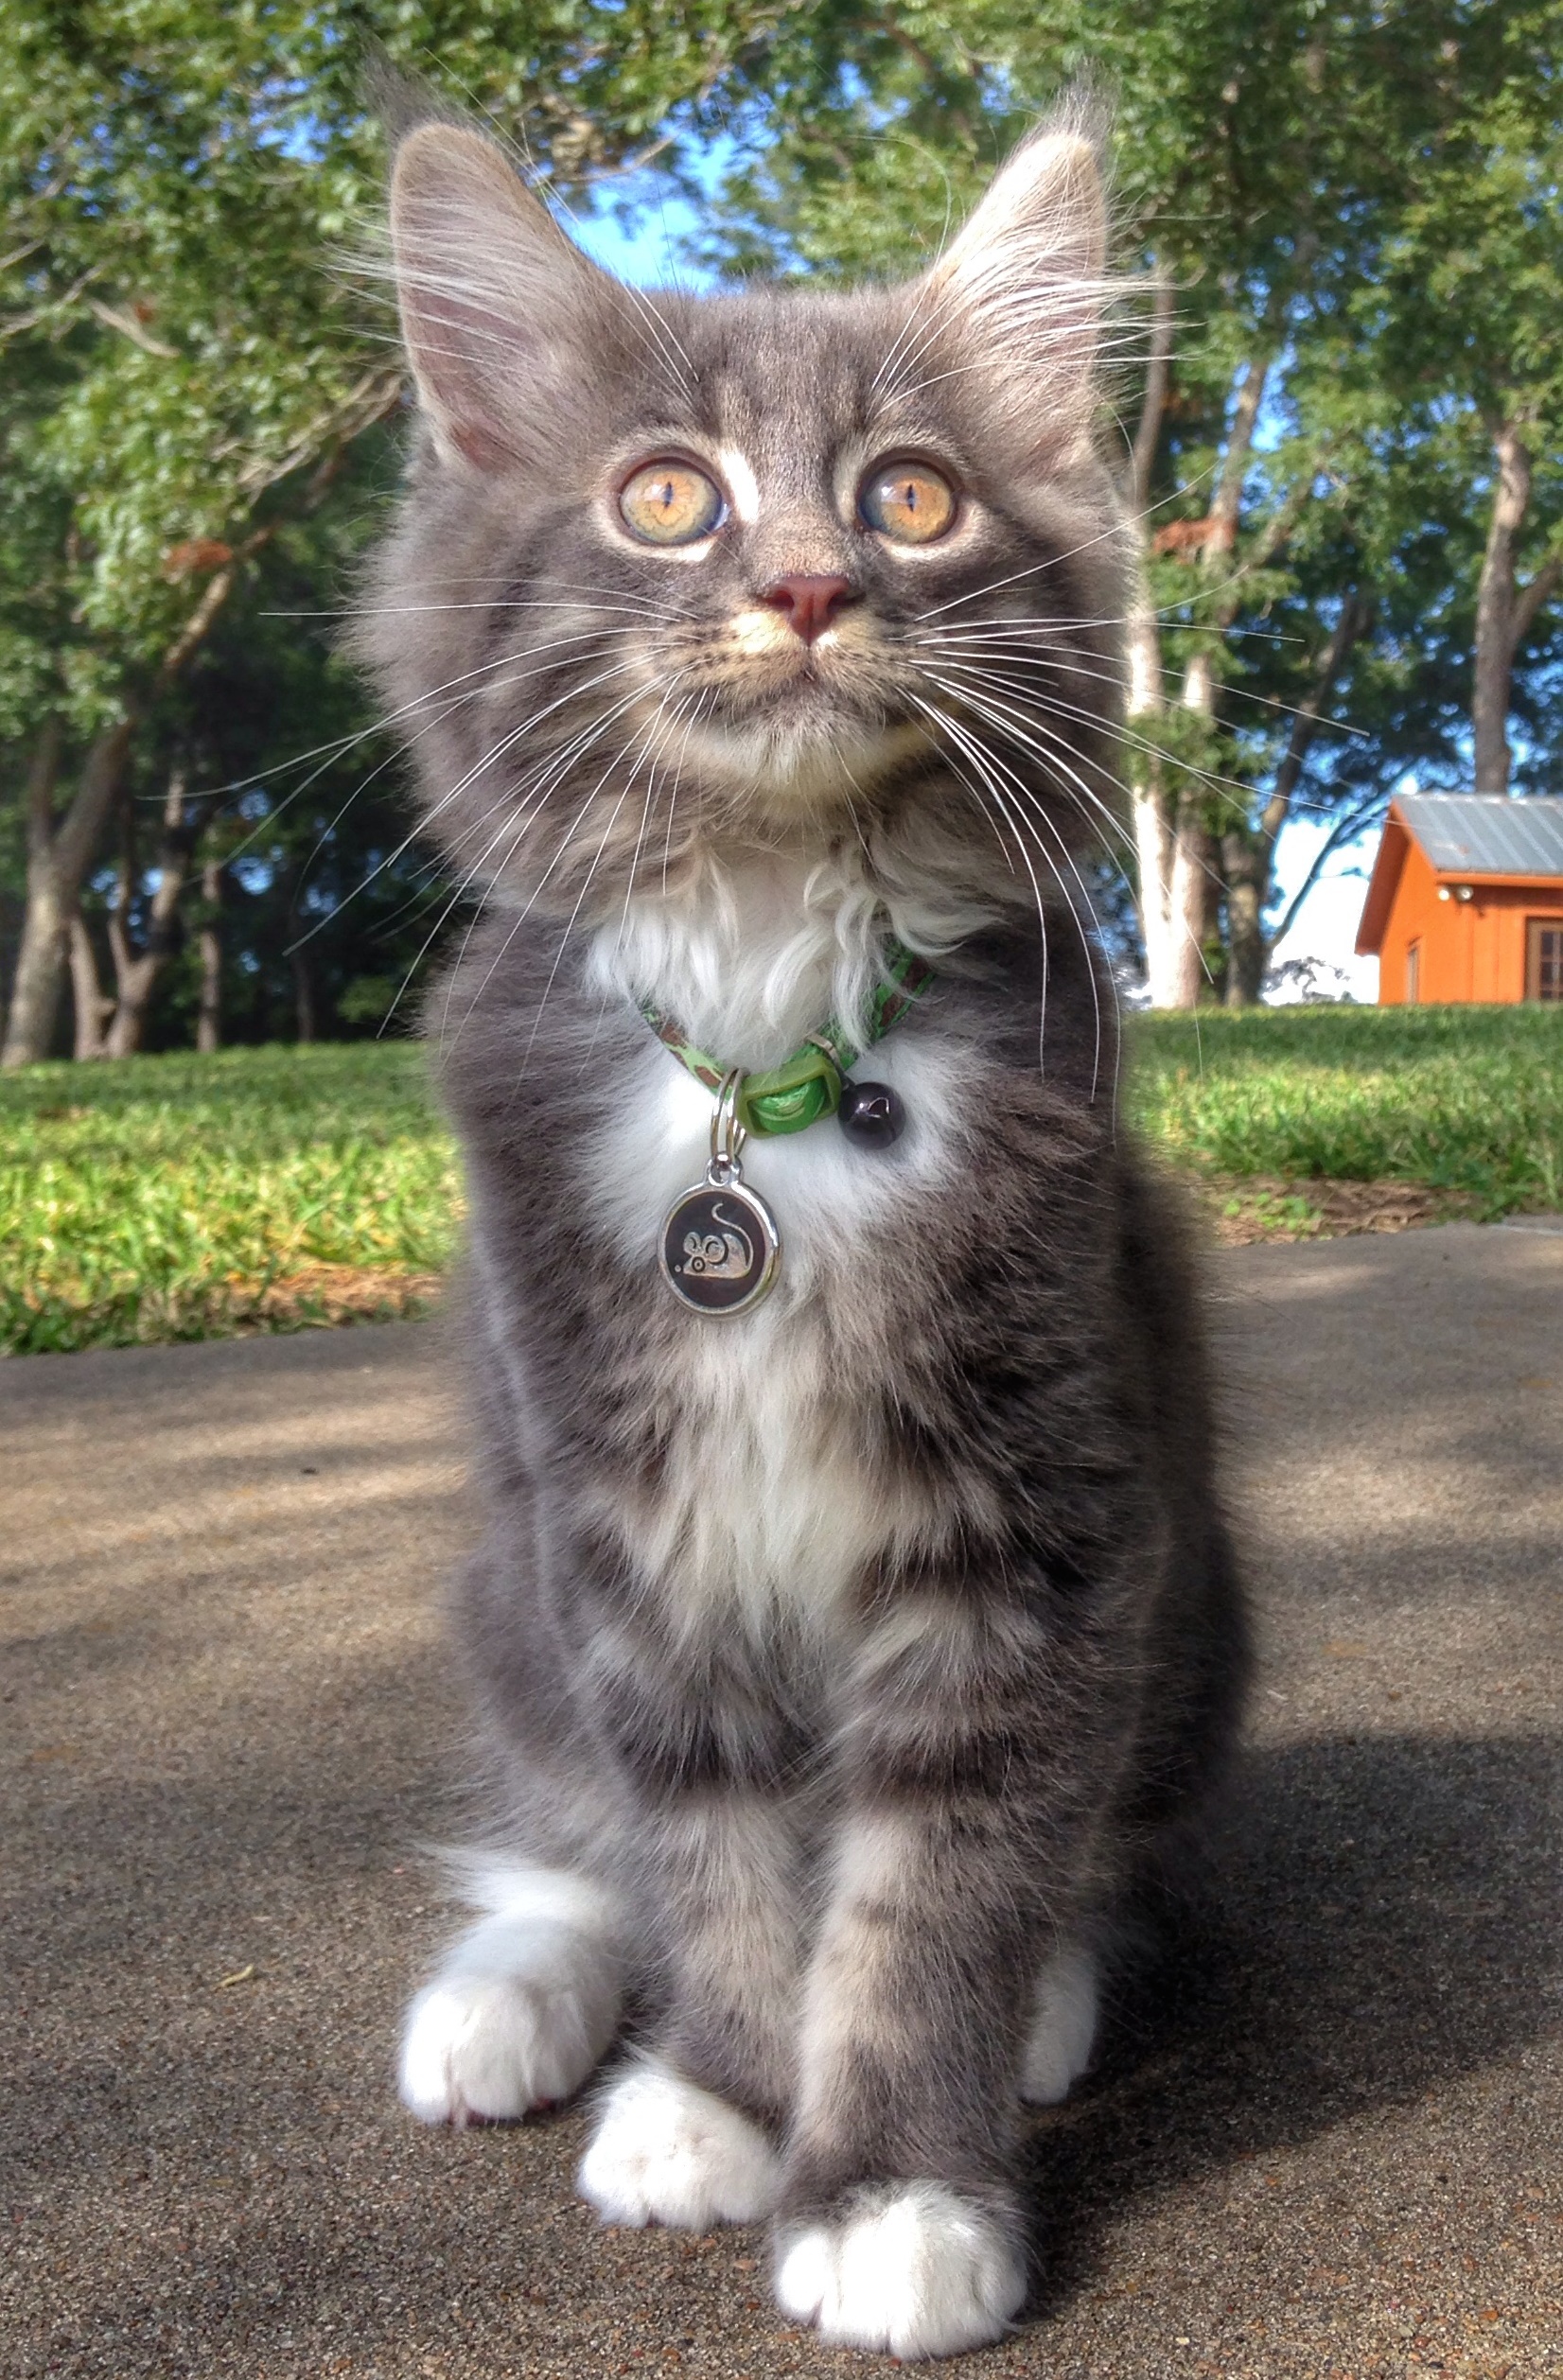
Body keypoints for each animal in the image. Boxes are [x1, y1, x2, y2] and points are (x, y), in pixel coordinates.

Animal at [361, 93, 1246, 2360]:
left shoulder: (1036, 1531)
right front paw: (725, 2102)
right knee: (565, 1833)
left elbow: (929, 1890)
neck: (764, 1046)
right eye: (667, 494)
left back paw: (1050, 1998)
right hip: (502, 1594)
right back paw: (511, 2003)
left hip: (1193, 1608)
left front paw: (893, 2189)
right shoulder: (620, 1528)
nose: (809, 582)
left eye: (910, 497)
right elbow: (713, 1858)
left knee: (1092, 1854)